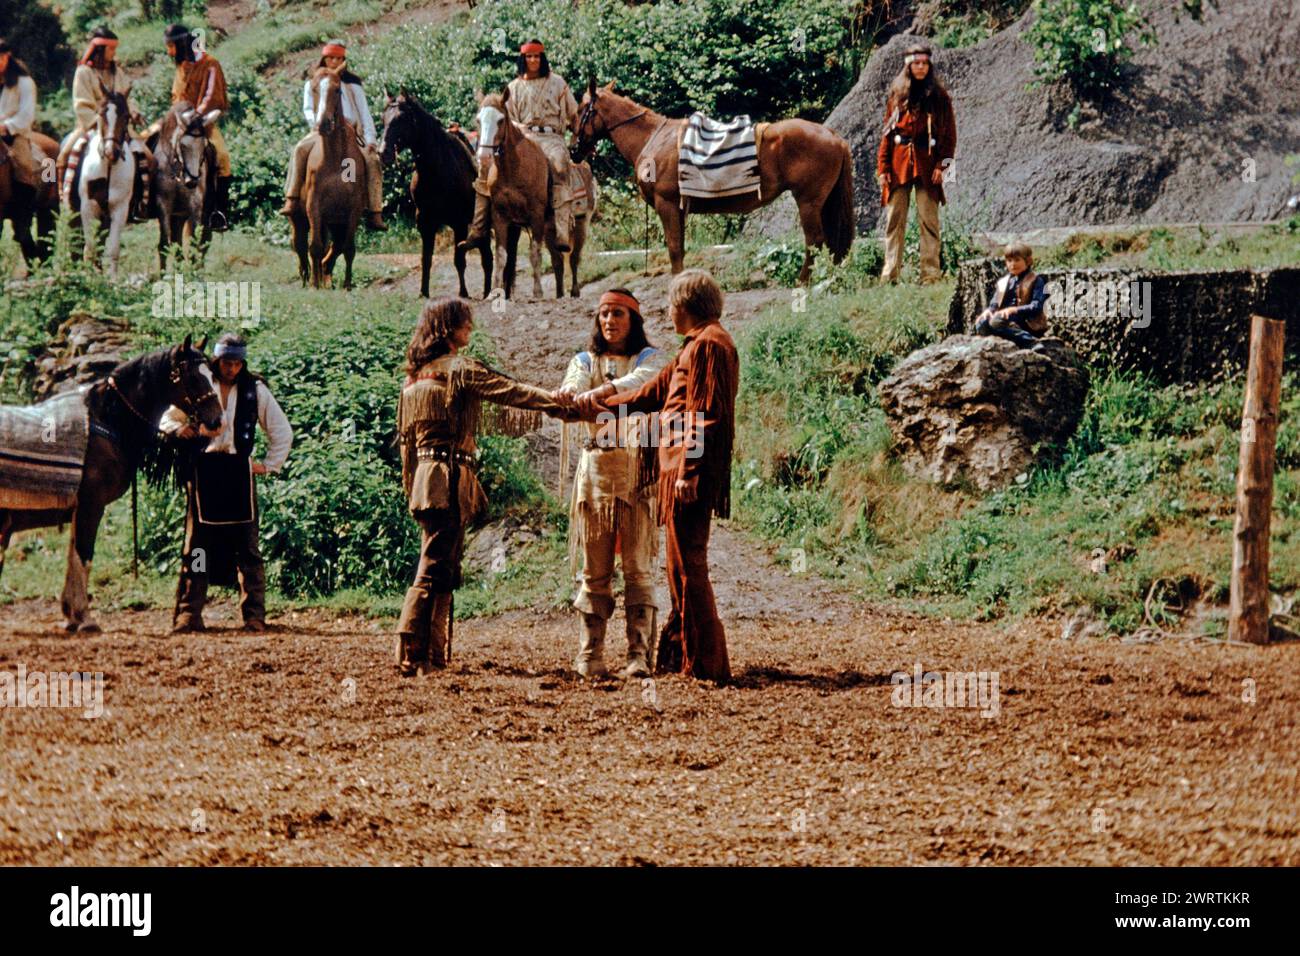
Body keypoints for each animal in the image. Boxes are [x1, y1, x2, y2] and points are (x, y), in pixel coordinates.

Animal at [0, 335, 222, 634]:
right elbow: (84, 555)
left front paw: (72, 615)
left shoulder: (80, 510)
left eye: (211, 373)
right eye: (193, 376)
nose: (217, 420)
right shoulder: (91, 506)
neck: (103, 420)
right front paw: (84, 618)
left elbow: (74, 556)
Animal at [78, 84, 136, 280]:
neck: (108, 167)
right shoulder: (87, 208)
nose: (112, 152)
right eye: (101, 113)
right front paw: (89, 278)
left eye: (126, 116)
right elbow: (90, 249)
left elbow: (113, 249)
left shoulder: (120, 209)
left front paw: (112, 280)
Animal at [289, 67, 361, 287]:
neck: (336, 160)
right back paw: (307, 277)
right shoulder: (314, 206)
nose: (323, 123)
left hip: (334, 222)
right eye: (313, 89)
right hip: (299, 217)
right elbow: (314, 247)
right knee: (300, 244)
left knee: (334, 247)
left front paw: (347, 286)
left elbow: (348, 248)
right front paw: (314, 285)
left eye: (338, 90)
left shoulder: (352, 210)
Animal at [382, 90, 493, 299]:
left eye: (401, 119)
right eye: (383, 118)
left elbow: (459, 260)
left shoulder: (459, 223)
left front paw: (463, 293)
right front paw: (423, 292)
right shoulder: (425, 223)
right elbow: (426, 259)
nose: (383, 153)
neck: (437, 168)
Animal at [574, 80, 857, 282]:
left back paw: (804, 281)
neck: (653, 138)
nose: (574, 150)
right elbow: (680, 249)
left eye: (581, 110)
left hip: (808, 202)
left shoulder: (668, 205)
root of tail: (833, 135)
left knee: (815, 240)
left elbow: (674, 249)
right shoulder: (679, 210)